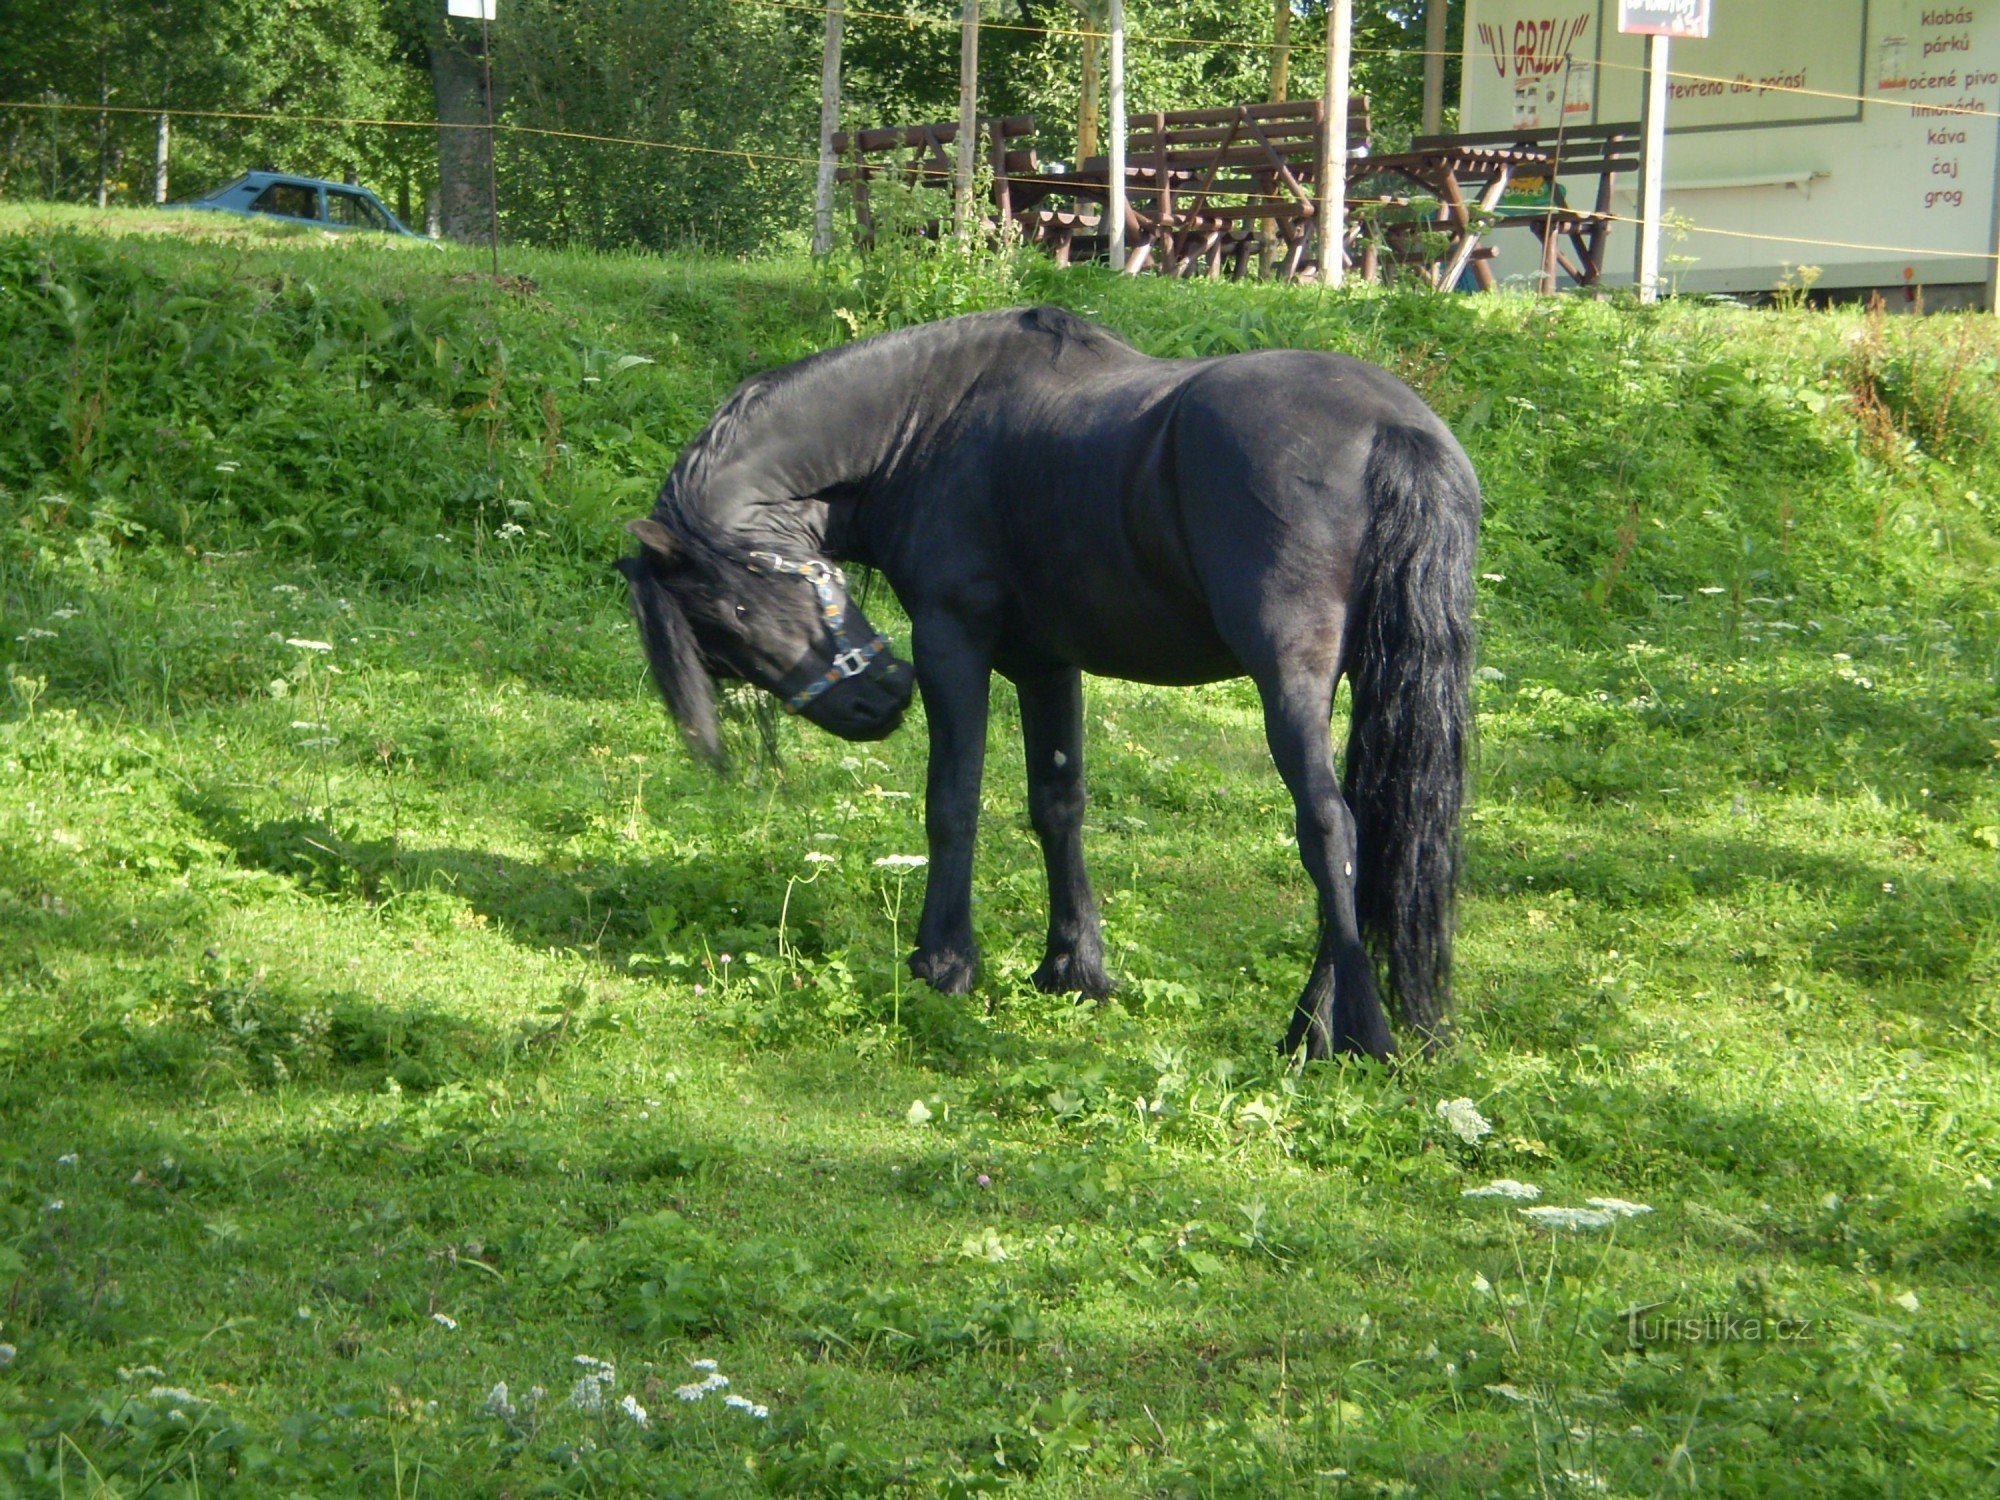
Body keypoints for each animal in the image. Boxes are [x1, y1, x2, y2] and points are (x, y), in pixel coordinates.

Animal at [616, 306, 1480, 1064]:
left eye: (732, 613)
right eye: (718, 653)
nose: (874, 704)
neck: (929, 423)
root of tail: (1391, 428)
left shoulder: (951, 641)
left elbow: (952, 803)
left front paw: (943, 963)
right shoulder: (1045, 665)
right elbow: (1057, 806)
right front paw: (1074, 969)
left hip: (1289, 680)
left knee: (1329, 828)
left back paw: (1343, 1031)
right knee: (1366, 825)